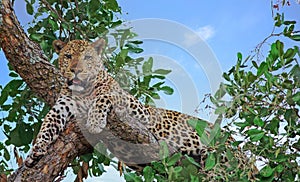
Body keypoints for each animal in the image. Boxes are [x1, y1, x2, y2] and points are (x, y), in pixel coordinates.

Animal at [24, 38, 258, 181]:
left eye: (88, 58)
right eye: (68, 56)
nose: (76, 70)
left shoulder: (135, 107)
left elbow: (105, 96)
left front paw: (95, 121)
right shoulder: (62, 106)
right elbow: (47, 124)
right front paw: (35, 152)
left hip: (221, 155)